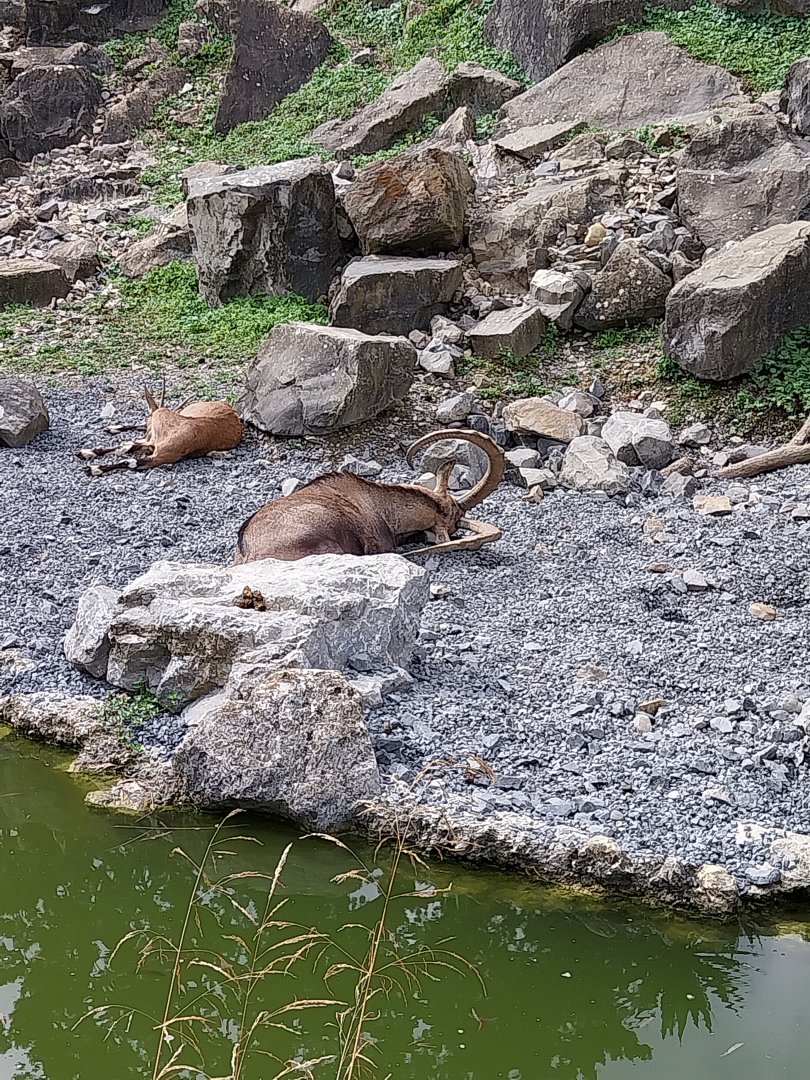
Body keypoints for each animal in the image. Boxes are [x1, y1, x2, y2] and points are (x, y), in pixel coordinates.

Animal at [78, 384, 243, 476]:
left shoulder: (159, 455)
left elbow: (130, 459)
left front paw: (93, 469)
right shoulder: (153, 445)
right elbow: (125, 448)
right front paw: (86, 453)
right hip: (188, 411)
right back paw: (113, 428)